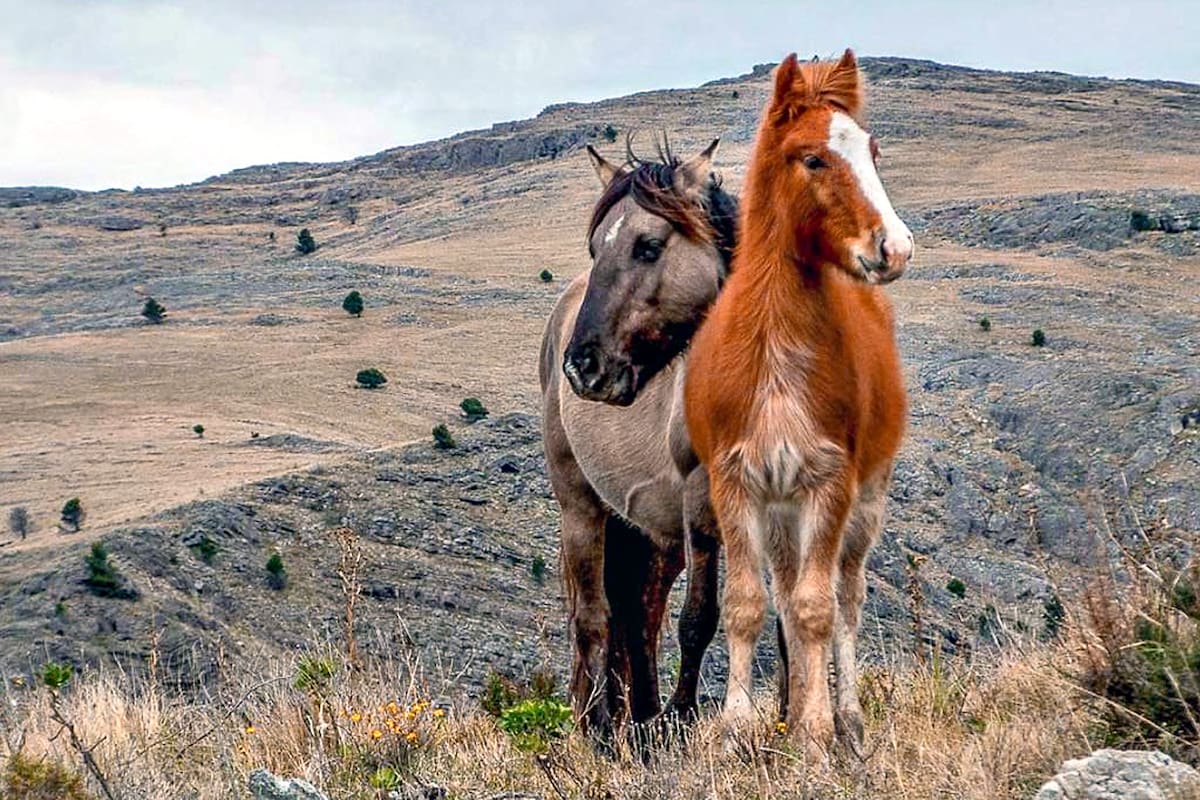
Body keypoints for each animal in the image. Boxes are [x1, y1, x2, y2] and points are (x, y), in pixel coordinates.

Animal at [539, 138, 736, 746]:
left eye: (649, 246)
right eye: (594, 247)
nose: (583, 366)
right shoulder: (702, 502)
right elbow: (699, 617)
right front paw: (681, 717)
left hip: (654, 532)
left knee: (638, 614)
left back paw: (640, 723)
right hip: (582, 508)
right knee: (596, 616)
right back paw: (598, 726)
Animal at [684, 49, 913, 758]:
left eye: (873, 150)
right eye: (812, 158)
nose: (894, 248)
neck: (774, 353)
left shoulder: (829, 483)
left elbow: (817, 611)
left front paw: (814, 733)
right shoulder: (735, 483)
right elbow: (749, 606)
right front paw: (736, 731)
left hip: (862, 506)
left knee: (845, 600)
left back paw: (846, 719)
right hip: (781, 513)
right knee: (786, 595)